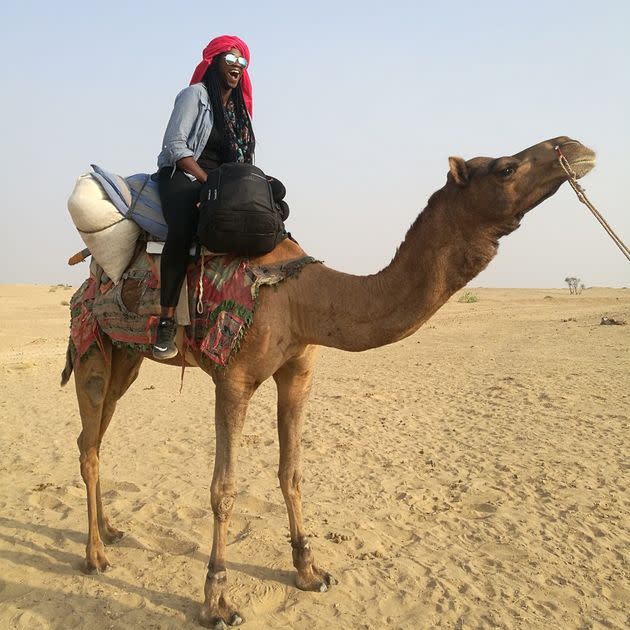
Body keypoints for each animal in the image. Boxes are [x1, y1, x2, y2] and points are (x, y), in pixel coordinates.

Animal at [60, 137, 596, 628]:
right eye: (506, 168)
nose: (575, 147)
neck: (301, 297)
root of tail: (87, 278)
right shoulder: (233, 379)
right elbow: (224, 488)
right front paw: (217, 602)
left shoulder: (299, 371)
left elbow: (291, 472)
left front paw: (309, 570)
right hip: (92, 345)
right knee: (89, 441)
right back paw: (95, 556)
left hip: (127, 356)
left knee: (96, 437)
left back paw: (109, 531)